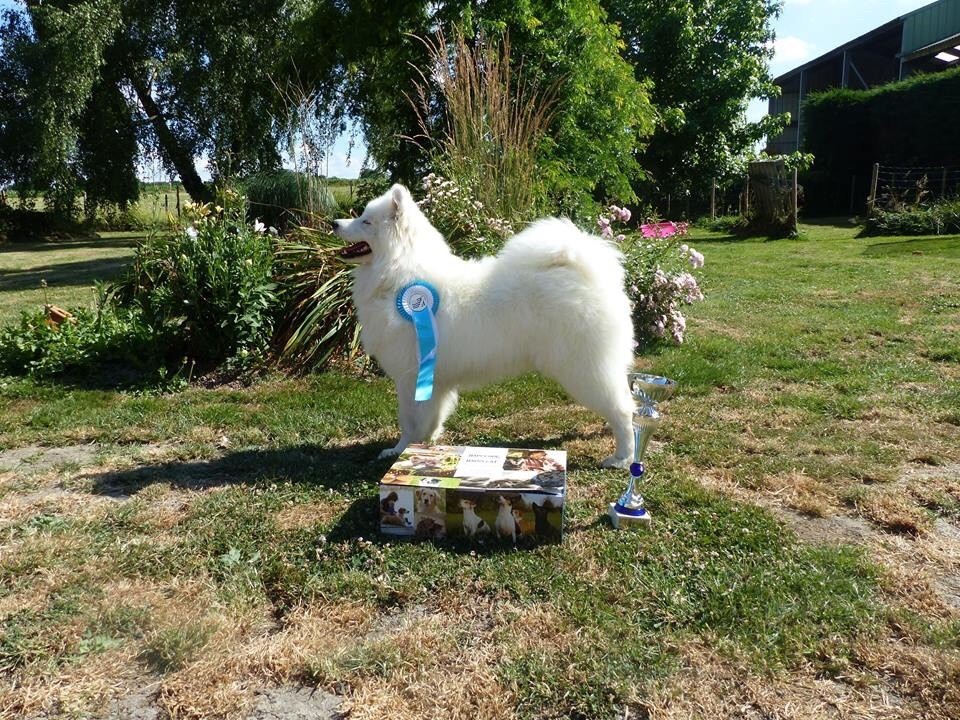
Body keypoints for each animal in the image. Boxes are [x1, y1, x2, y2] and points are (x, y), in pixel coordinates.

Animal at [334, 184, 636, 468]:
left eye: (366, 221)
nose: (335, 223)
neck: (400, 275)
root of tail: (589, 273)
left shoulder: (410, 376)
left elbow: (408, 420)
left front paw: (400, 450)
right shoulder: (434, 380)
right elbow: (431, 417)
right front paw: (426, 445)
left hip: (583, 368)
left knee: (622, 409)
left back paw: (622, 458)